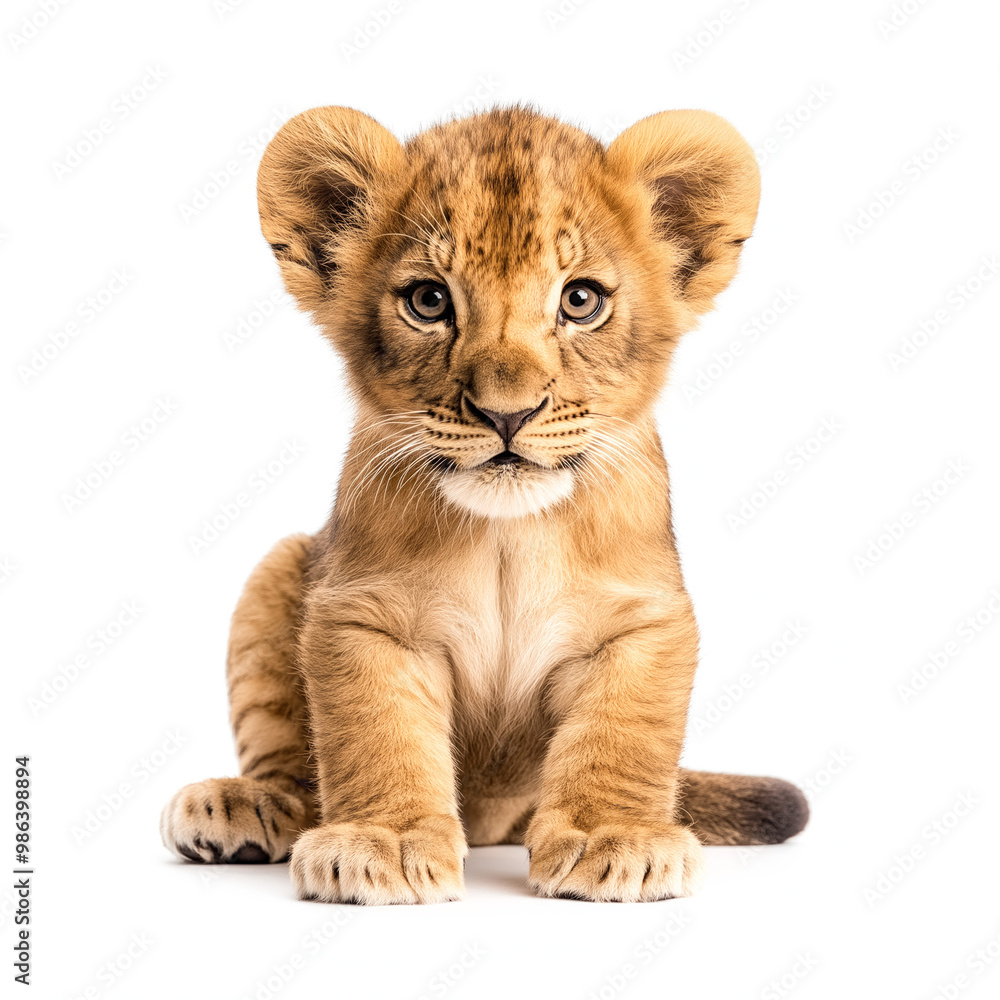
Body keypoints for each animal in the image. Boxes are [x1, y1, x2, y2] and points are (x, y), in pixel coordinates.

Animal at [160, 105, 808, 904]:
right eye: (429, 300)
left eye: (580, 300)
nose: (507, 413)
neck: (510, 534)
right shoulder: (364, 615)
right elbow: (377, 734)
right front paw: (384, 842)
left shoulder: (641, 621)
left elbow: (620, 735)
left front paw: (613, 839)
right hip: (277, 568)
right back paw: (247, 805)